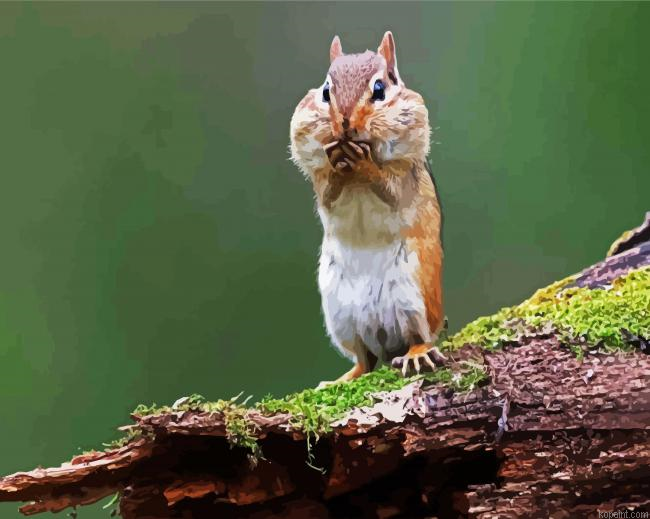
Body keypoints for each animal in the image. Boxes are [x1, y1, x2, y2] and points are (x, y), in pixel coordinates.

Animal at [290, 31, 445, 385]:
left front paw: (363, 163)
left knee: (419, 337)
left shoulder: (403, 176)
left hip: (415, 298)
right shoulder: (321, 180)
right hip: (341, 317)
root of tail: (387, 340)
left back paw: (416, 354)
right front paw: (338, 159)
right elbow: (328, 192)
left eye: (379, 89)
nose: (346, 123)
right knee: (365, 359)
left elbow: (388, 188)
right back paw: (342, 378)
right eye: (326, 91)